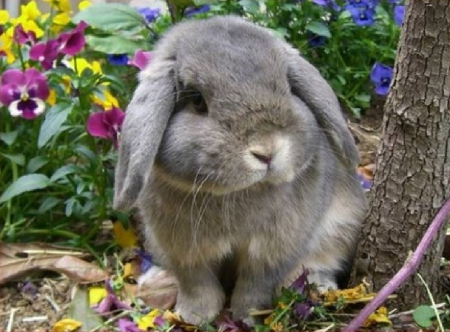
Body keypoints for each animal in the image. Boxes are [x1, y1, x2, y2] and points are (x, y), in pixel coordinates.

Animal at [114, 14, 368, 324]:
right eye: (197, 99)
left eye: (287, 87)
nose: (267, 150)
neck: (235, 193)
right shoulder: (185, 250)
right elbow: (196, 282)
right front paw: (195, 316)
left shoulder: (273, 250)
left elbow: (257, 283)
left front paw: (249, 316)